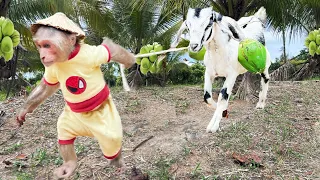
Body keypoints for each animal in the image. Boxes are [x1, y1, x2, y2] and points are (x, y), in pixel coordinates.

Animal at [15, 12, 135, 179]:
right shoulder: (52, 68)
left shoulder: (92, 54)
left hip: (106, 121)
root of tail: (88, 131)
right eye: (39, 46)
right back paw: (70, 163)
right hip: (72, 121)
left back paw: (116, 160)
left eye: (47, 46)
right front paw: (24, 110)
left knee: (111, 140)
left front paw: (131, 61)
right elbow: (47, 87)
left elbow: (111, 49)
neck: (69, 57)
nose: (42, 56)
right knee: (64, 134)